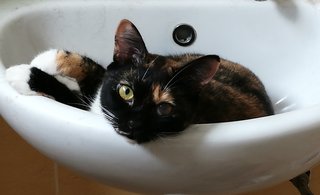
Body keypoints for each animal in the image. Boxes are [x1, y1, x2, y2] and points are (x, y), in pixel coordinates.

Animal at [4, 18, 312, 195]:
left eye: (165, 108)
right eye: (126, 91)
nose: (133, 124)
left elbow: (72, 96)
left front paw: (23, 74)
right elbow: (99, 74)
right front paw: (53, 58)